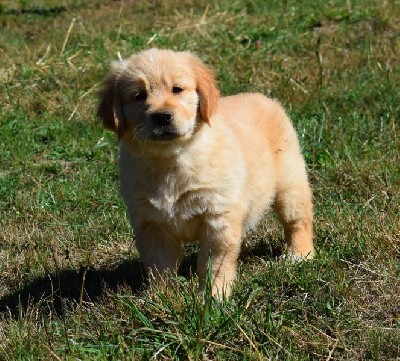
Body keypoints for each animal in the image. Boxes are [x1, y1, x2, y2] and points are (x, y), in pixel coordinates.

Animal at [97, 47, 316, 298]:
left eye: (177, 89)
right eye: (139, 95)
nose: (162, 116)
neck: (171, 158)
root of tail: (264, 98)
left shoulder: (217, 218)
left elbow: (214, 264)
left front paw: (213, 297)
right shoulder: (151, 224)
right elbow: (159, 267)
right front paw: (160, 297)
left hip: (290, 185)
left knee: (298, 220)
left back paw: (299, 255)